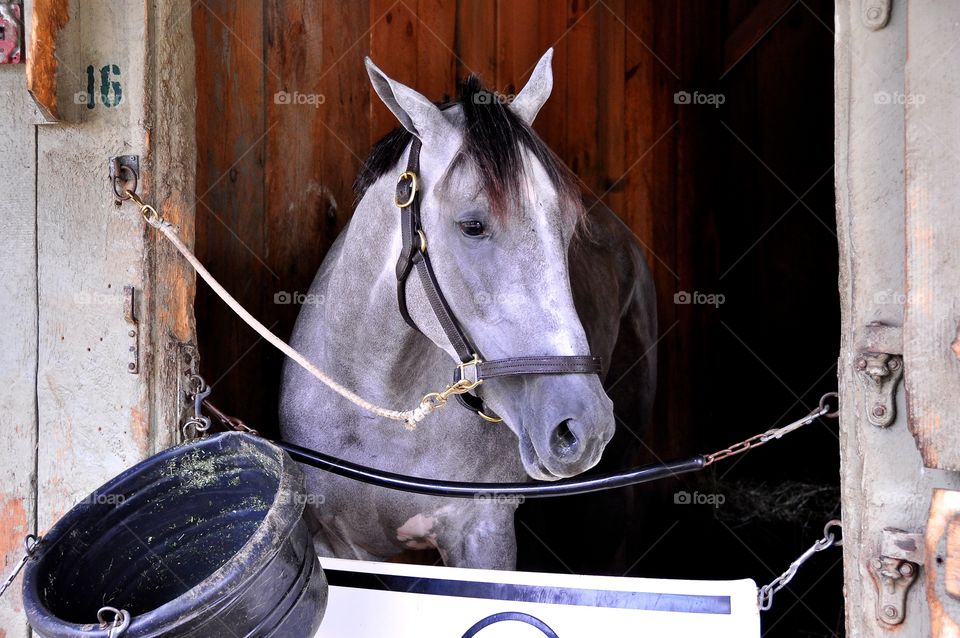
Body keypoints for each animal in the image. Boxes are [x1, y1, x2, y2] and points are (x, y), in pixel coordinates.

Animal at [274, 48, 656, 568]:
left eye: (565, 225)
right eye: (472, 225)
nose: (583, 424)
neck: (384, 412)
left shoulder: (482, 532)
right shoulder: (338, 544)